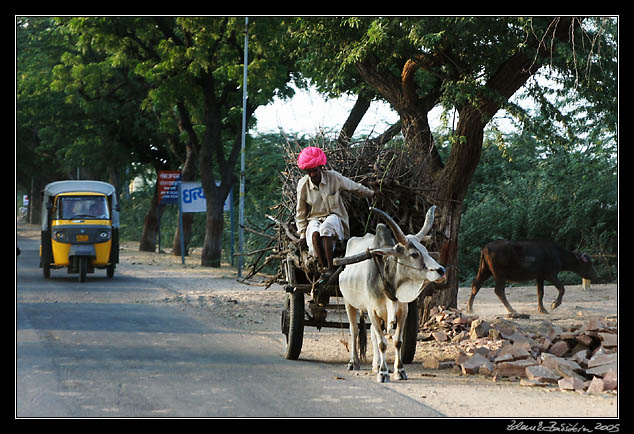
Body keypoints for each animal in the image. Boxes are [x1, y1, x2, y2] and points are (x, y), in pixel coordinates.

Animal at [464, 241, 592, 316]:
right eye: (588, 264)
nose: (594, 275)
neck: (557, 254)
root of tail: (486, 247)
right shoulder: (550, 275)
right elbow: (562, 288)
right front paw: (554, 304)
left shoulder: (539, 277)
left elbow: (540, 293)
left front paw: (542, 309)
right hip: (499, 275)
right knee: (498, 290)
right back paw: (512, 310)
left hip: (484, 271)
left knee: (475, 285)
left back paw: (470, 309)